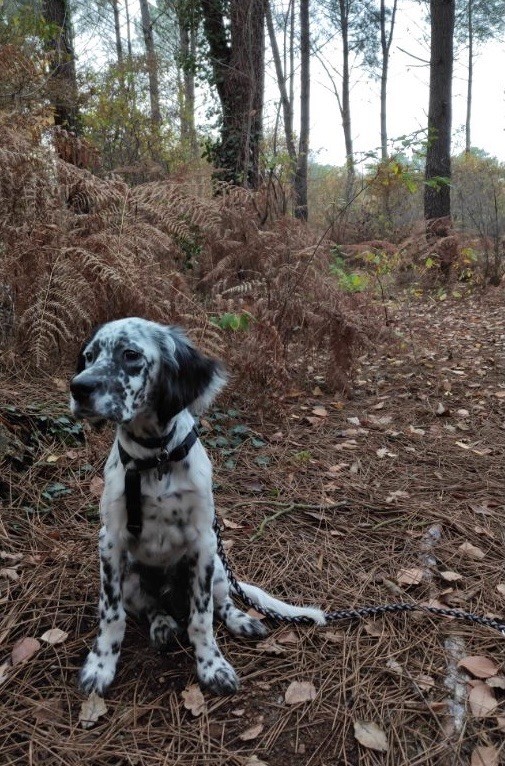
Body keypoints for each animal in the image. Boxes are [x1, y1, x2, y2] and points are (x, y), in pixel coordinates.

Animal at [69, 318, 324, 696]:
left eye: (130, 354)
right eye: (89, 356)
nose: (78, 388)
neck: (155, 458)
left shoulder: (204, 541)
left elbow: (202, 618)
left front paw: (212, 666)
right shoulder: (110, 543)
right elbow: (111, 616)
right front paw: (100, 666)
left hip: (217, 567)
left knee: (223, 603)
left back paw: (241, 620)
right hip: (132, 581)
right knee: (153, 607)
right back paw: (162, 624)